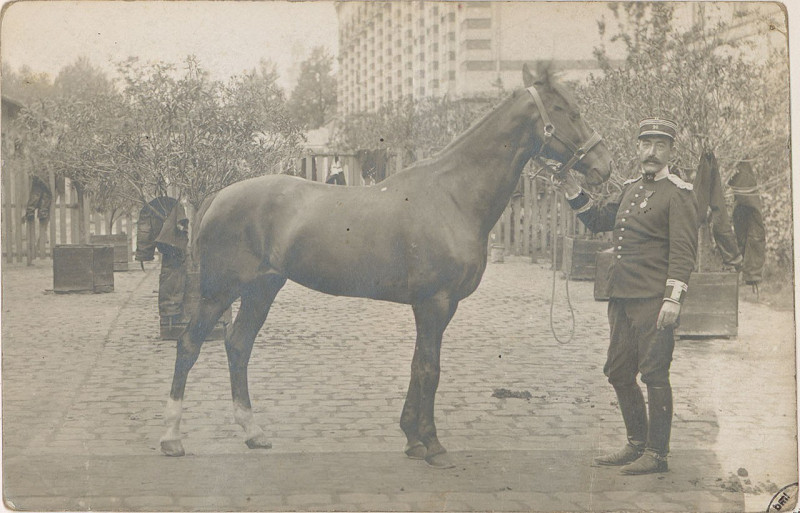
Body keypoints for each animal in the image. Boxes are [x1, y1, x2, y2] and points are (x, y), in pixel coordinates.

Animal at [159, 63, 613, 468]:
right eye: (567, 111)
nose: (603, 167)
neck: (452, 196)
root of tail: (218, 196)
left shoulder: (434, 307)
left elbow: (416, 365)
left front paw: (412, 439)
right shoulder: (435, 303)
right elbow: (430, 369)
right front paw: (433, 446)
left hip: (262, 289)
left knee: (238, 345)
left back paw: (253, 432)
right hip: (219, 291)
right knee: (189, 345)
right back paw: (172, 438)